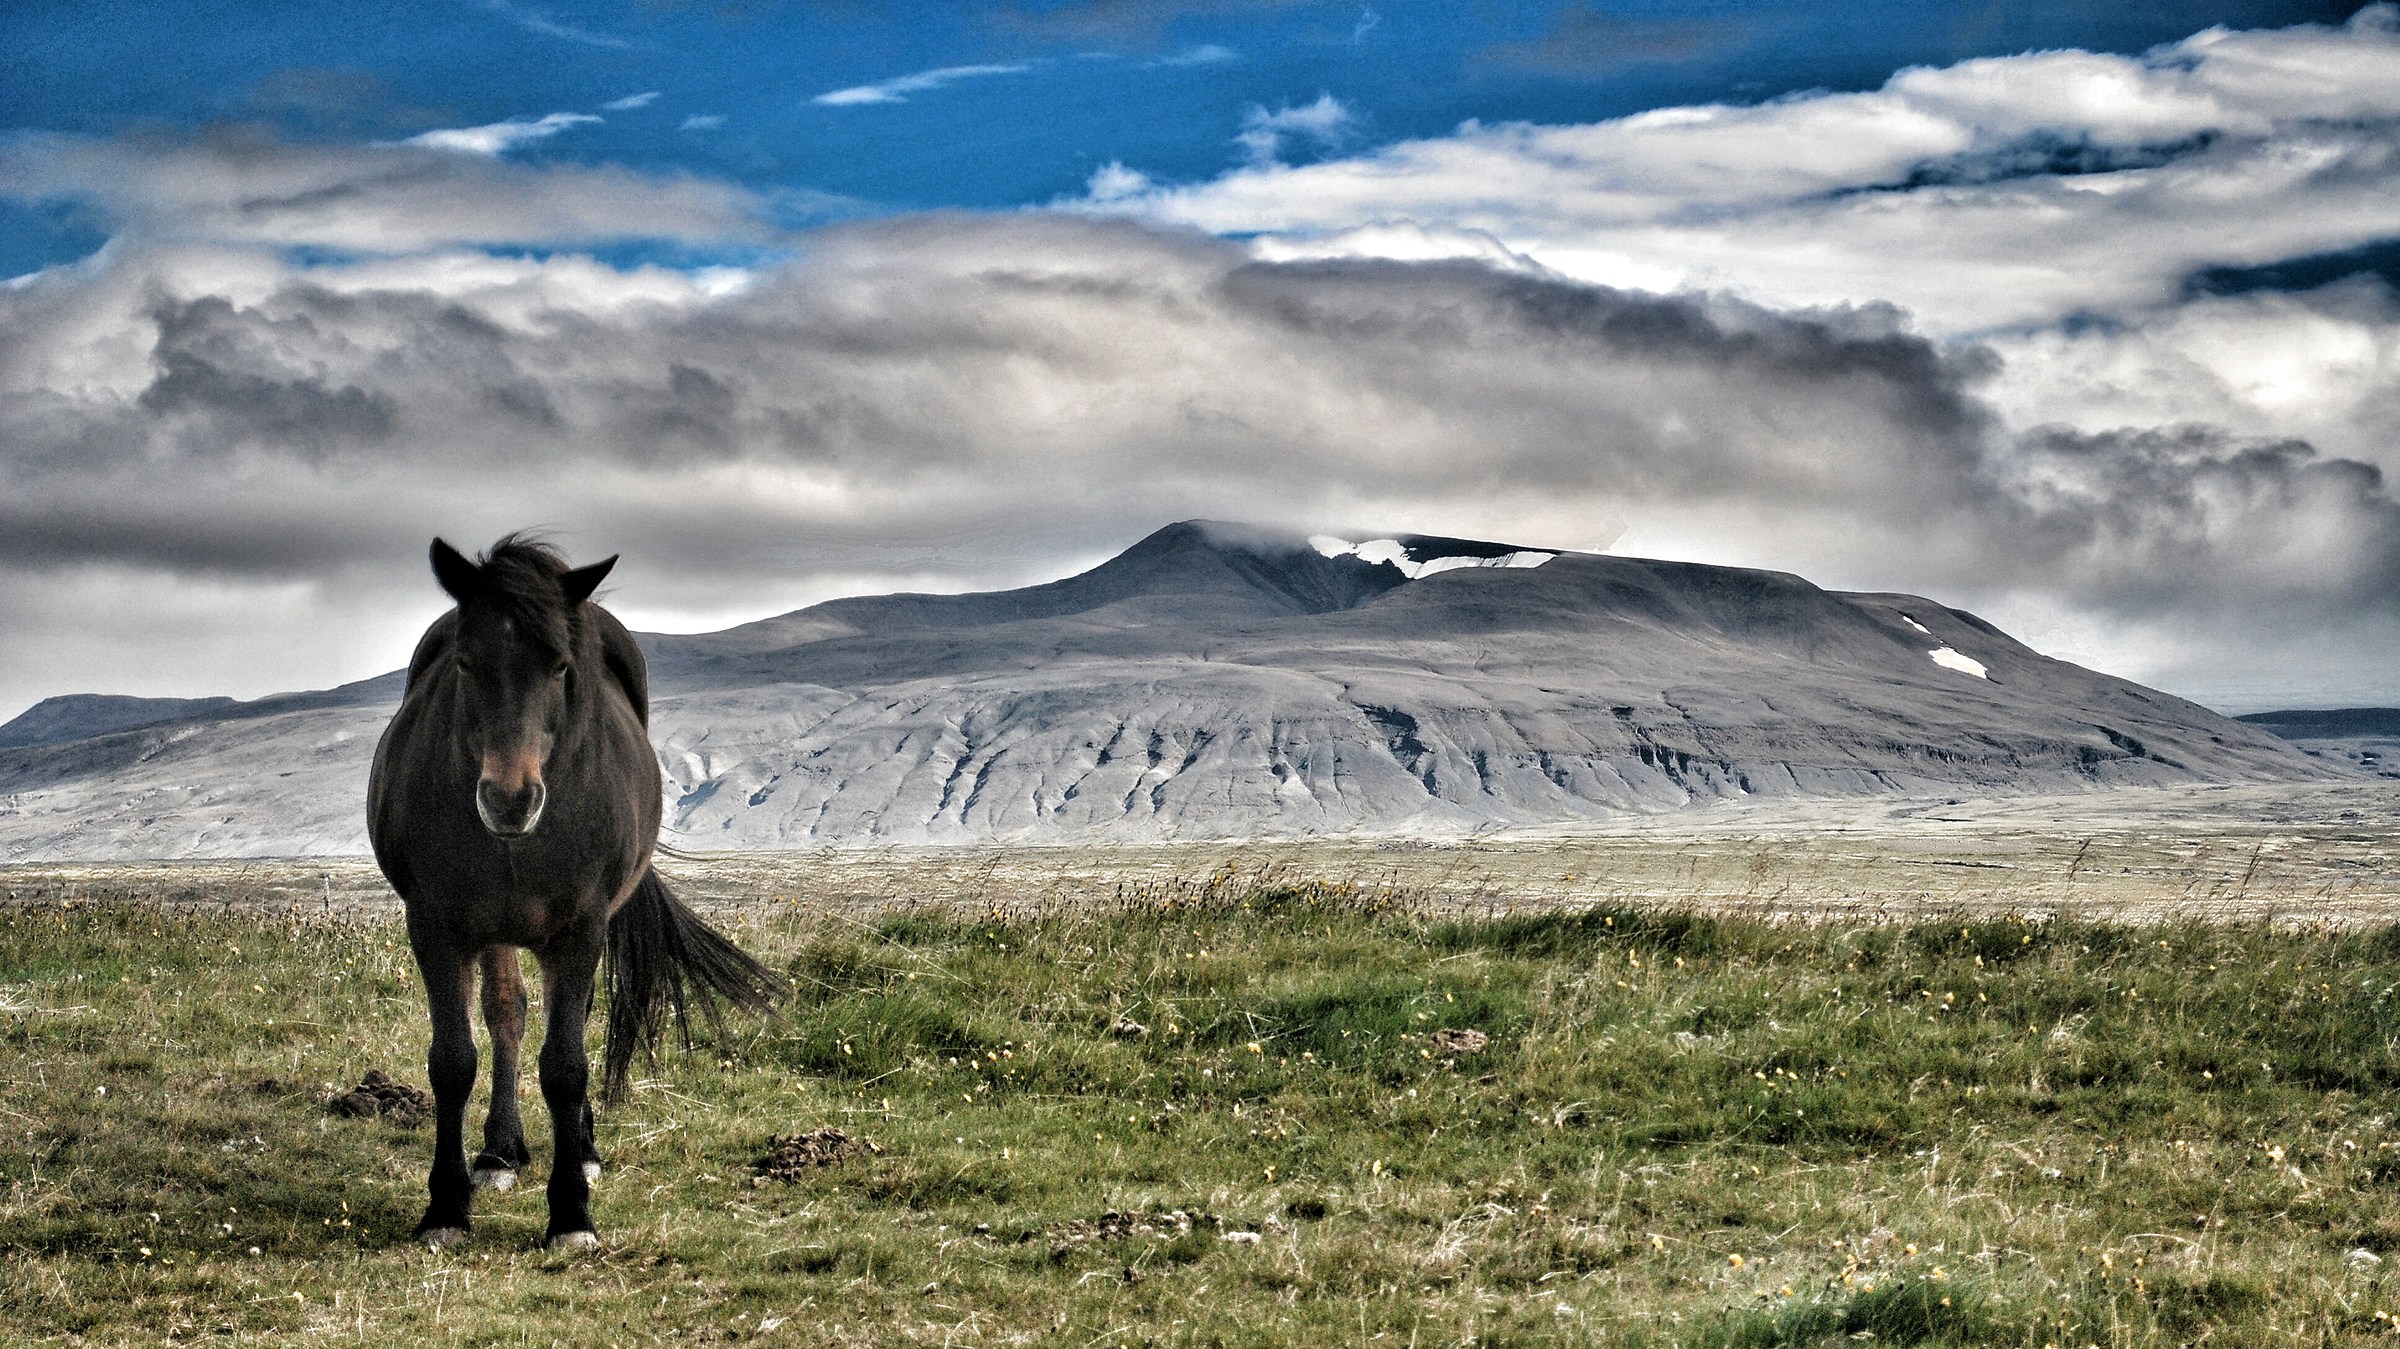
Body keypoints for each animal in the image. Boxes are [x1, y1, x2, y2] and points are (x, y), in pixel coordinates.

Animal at [368, 534, 779, 1250]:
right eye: (466, 663)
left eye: (560, 666)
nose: (510, 799)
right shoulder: (437, 925)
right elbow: (453, 1061)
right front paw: (446, 1207)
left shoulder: (579, 928)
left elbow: (564, 1065)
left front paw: (570, 1213)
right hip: (496, 926)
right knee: (506, 1013)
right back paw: (500, 1152)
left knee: (570, 1022)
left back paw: (580, 1151)